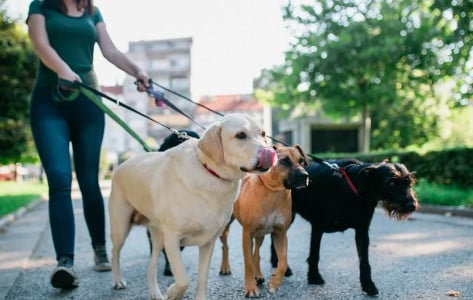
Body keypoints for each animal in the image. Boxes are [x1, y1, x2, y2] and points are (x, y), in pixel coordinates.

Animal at [218, 145, 308, 298]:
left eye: (301, 160)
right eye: (283, 161)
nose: (305, 176)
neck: (273, 192)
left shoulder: (280, 233)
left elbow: (283, 262)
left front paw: (274, 284)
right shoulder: (247, 233)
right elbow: (247, 262)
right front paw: (250, 288)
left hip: (260, 234)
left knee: (257, 252)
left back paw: (258, 274)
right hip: (226, 227)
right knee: (226, 246)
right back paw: (225, 267)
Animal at [270, 159, 416, 296]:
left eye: (409, 182)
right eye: (391, 183)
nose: (412, 205)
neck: (354, 187)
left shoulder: (362, 231)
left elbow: (364, 262)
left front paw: (368, 285)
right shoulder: (317, 227)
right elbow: (315, 254)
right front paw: (314, 277)